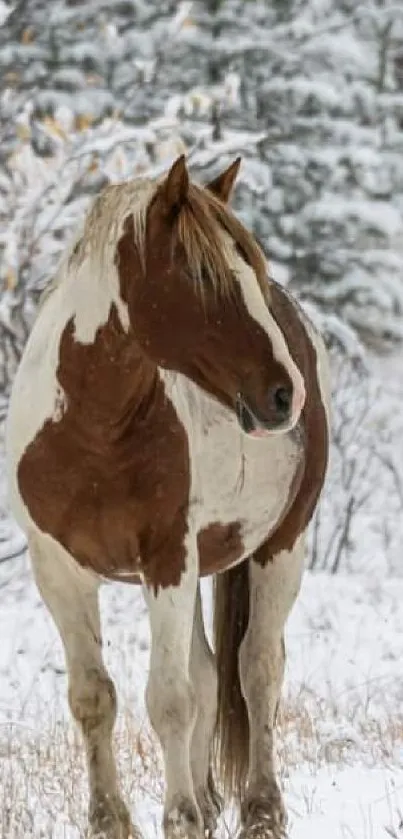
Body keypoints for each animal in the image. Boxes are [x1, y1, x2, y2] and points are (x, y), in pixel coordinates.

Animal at [6, 158, 332, 839]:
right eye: (201, 274)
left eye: (251, 271)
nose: (283, 394)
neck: (93, 428)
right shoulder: (58, 569)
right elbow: (94, 697)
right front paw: (111, 819)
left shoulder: (167, 561)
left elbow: (171, 699)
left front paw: (178, 816)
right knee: (210, 674)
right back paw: (210, 803)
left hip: (281, 548)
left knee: (256, 669)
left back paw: (261, 811)